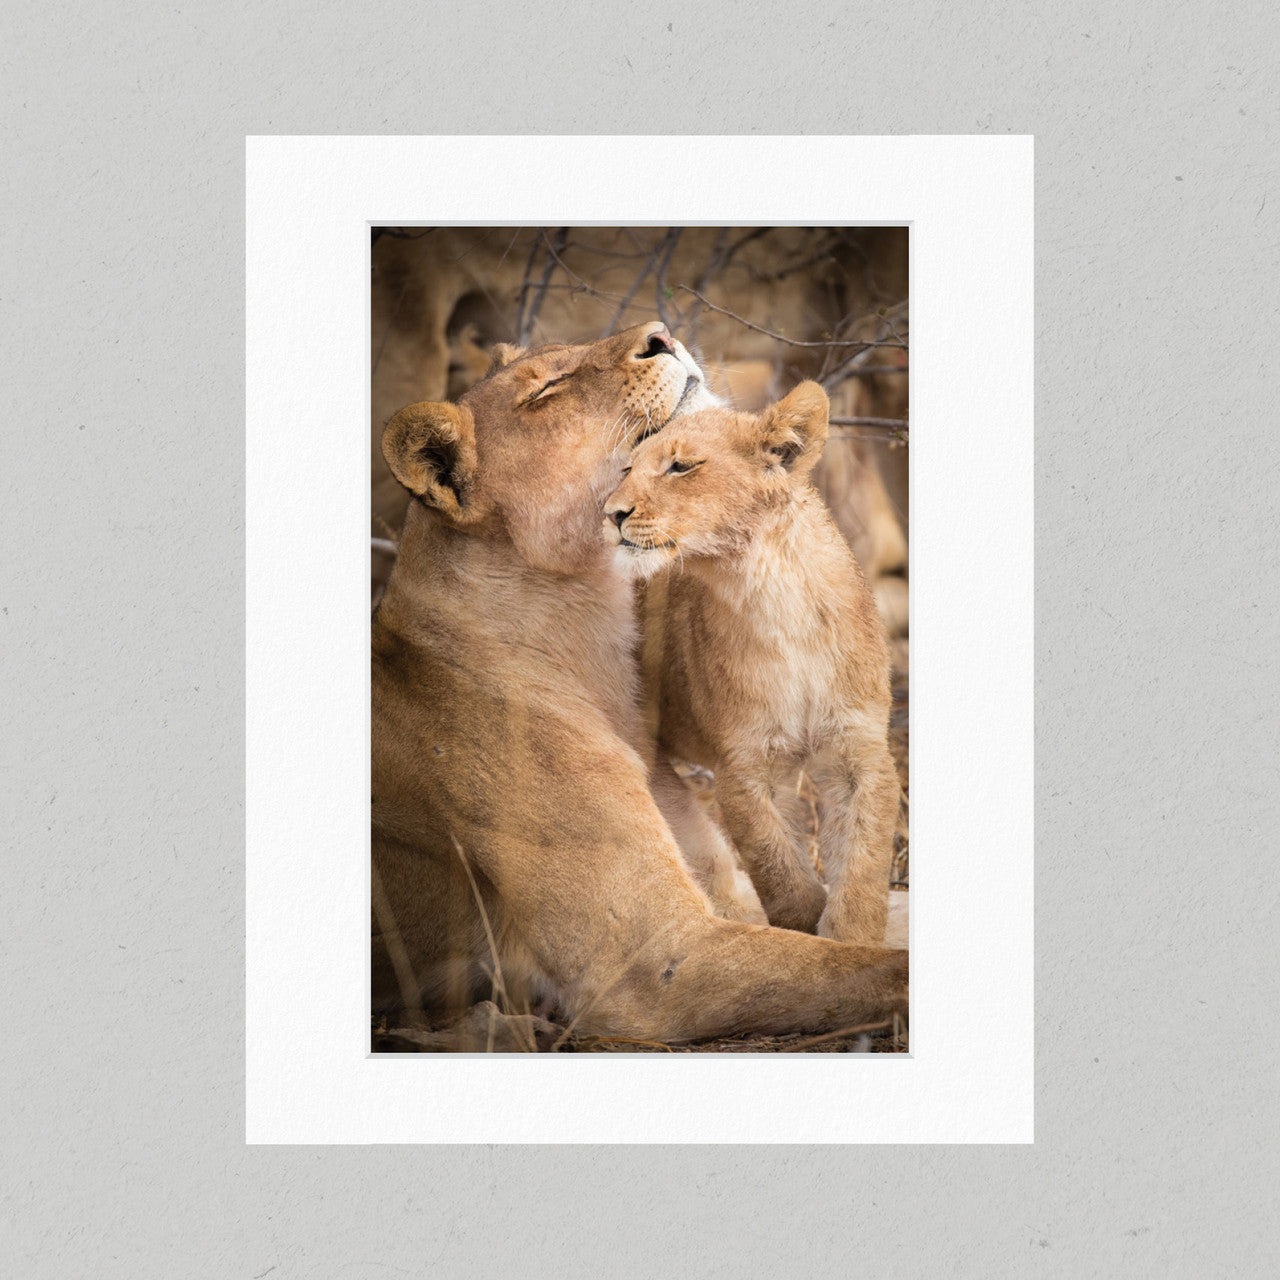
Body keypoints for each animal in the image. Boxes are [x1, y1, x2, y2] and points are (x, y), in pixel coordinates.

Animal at [603, 382, 899, 945]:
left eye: (680, 467)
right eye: (628, 469)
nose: (610, 513)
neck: (769, 593)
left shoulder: (858, 750)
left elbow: (863, 867)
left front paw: (850, 939)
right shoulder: (746, 765)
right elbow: (781, 872)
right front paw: (804, 932)